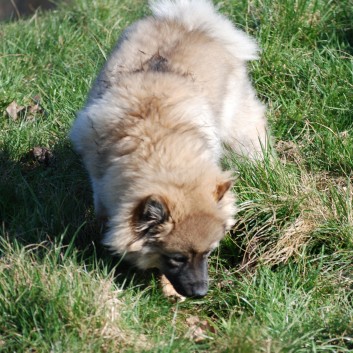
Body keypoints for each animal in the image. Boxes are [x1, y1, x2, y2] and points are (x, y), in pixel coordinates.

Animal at [69, 0, 266, 296]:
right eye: (177, 258)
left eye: (209, 253)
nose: (201, 293)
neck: (157, 143)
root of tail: (191, 23)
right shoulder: (100, 180)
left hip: (237, 124)